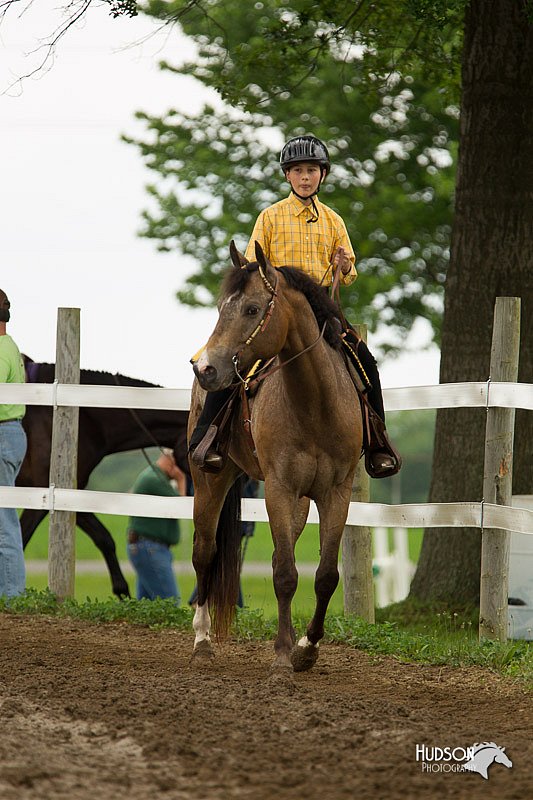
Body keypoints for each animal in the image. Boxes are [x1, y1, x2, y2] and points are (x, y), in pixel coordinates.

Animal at [189, 241, 364, 672]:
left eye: (252, 309)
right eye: (221, 308)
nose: (205, 368)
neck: (315, 405)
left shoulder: (336, 494)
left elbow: (325, 575)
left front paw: (306, 647)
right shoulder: (278, 489)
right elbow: (285, 574)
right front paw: (283, 656)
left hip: (299, 503)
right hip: (210, 481)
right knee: (204, 553)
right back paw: (202, 640)